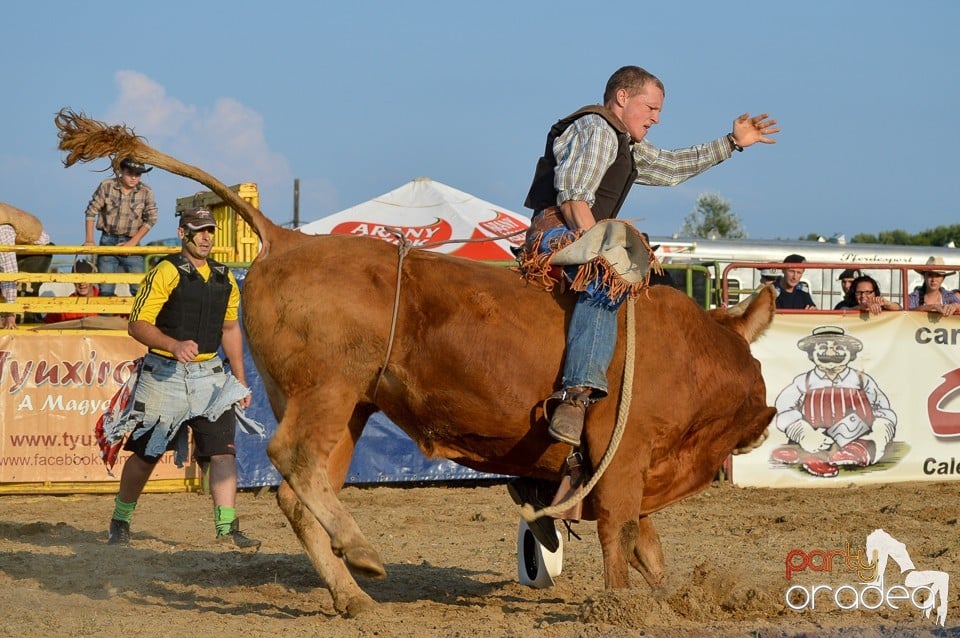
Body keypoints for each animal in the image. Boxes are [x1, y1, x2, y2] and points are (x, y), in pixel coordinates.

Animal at [54, 110, 780, 620]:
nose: (769, 414)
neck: (687, 352)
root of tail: (285, 238)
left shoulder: (619, 468)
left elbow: (647, 545)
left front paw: (671, 597)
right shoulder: (623, 458)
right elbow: (621, 536)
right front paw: (624, 607)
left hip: (342, 407)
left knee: (299, 490)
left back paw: (353, 592)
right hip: (327, 389)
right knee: (292, 459)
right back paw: (363, 550)